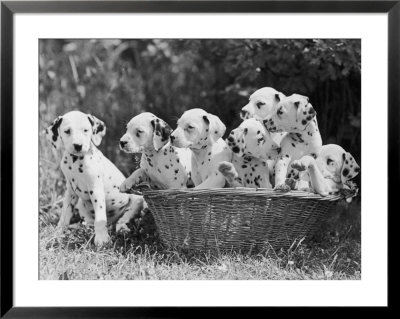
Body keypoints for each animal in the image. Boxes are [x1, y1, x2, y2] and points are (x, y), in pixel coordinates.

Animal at [45, 111, 144, 246]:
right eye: (67, 131)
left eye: (86, 130)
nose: (78, 146)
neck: (75, 162)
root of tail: (111, 223)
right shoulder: (70, 192)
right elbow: (65, 215)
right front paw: (57, 233)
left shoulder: (96, 190)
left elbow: (100, 218)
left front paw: (101, 239)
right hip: (81, 206)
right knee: (88, 223)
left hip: (136, 200)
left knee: (124, 218)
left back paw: (122, 228)